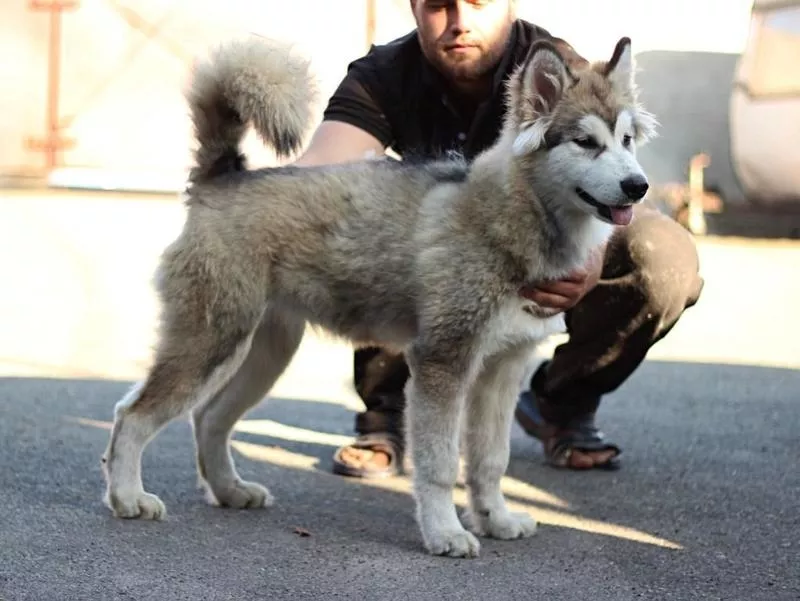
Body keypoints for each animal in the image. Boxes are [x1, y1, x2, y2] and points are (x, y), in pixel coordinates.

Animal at [101, 34, 656, 556]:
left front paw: (496, 520)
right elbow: (438, 465)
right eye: (585, 142)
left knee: (209, 418)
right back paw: (128, 497)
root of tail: (226, 176)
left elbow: (489, 461)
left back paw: (229, 490)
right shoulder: (442, 364)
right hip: (209, 344)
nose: (639, 186)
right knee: (134, 413)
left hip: (263, 355)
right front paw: (445, 533)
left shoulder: (502, 371)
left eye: (627, 140)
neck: (515, 217)